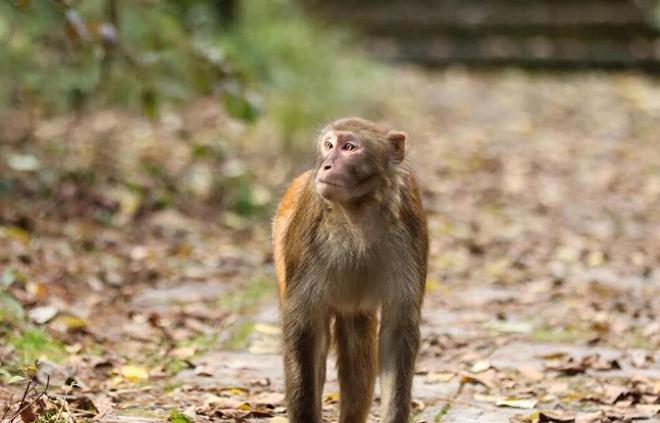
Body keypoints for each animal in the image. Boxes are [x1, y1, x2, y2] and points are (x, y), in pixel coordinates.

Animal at [272, 117, 428, 423]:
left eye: (349, 148)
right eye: (329, 145)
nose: (326, 165)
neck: (357, 213)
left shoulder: (410, 225)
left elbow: (397, 331)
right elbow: (304, 329)